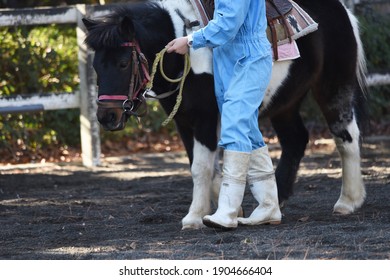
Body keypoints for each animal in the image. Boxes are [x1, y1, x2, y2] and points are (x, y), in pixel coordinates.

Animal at [82, 0, 366, 230]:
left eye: (123, 63)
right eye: (95, 66)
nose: (107, 117)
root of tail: (343, 12)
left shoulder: (205, 119)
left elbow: (201, 168)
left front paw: (195, 217)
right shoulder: (184, 122)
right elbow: (206, 166)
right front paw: (231, 209)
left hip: (333, 87)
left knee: (346, 137)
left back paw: (348, 201)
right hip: (285, 103)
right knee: (295, 140)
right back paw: (275, 204)